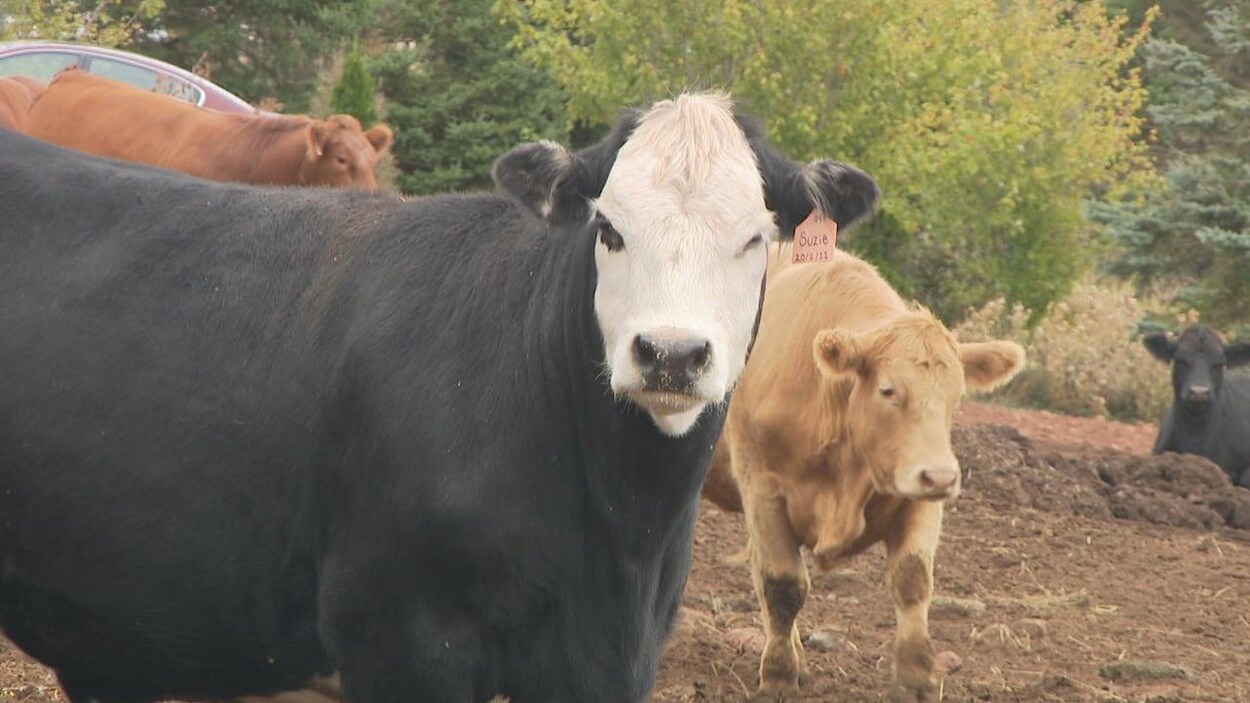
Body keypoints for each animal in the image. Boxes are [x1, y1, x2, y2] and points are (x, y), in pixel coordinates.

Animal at [701, 247, 1024, 702]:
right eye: (888, 390)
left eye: (956, 396)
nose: (941, 477)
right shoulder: (763, 491)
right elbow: (782, 585)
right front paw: (779, 678)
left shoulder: (918, 500)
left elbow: (912, 579)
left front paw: (917, 677)